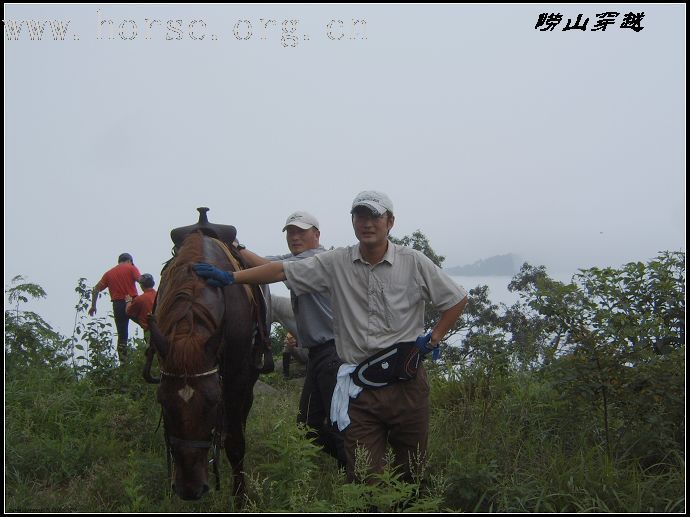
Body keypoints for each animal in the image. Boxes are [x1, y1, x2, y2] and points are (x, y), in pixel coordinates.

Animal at [145, 232, 264, 502]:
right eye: (162, 401)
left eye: (213, 401)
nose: (190, 489)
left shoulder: (235, 377)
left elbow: (235, 443)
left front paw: (240, 498)